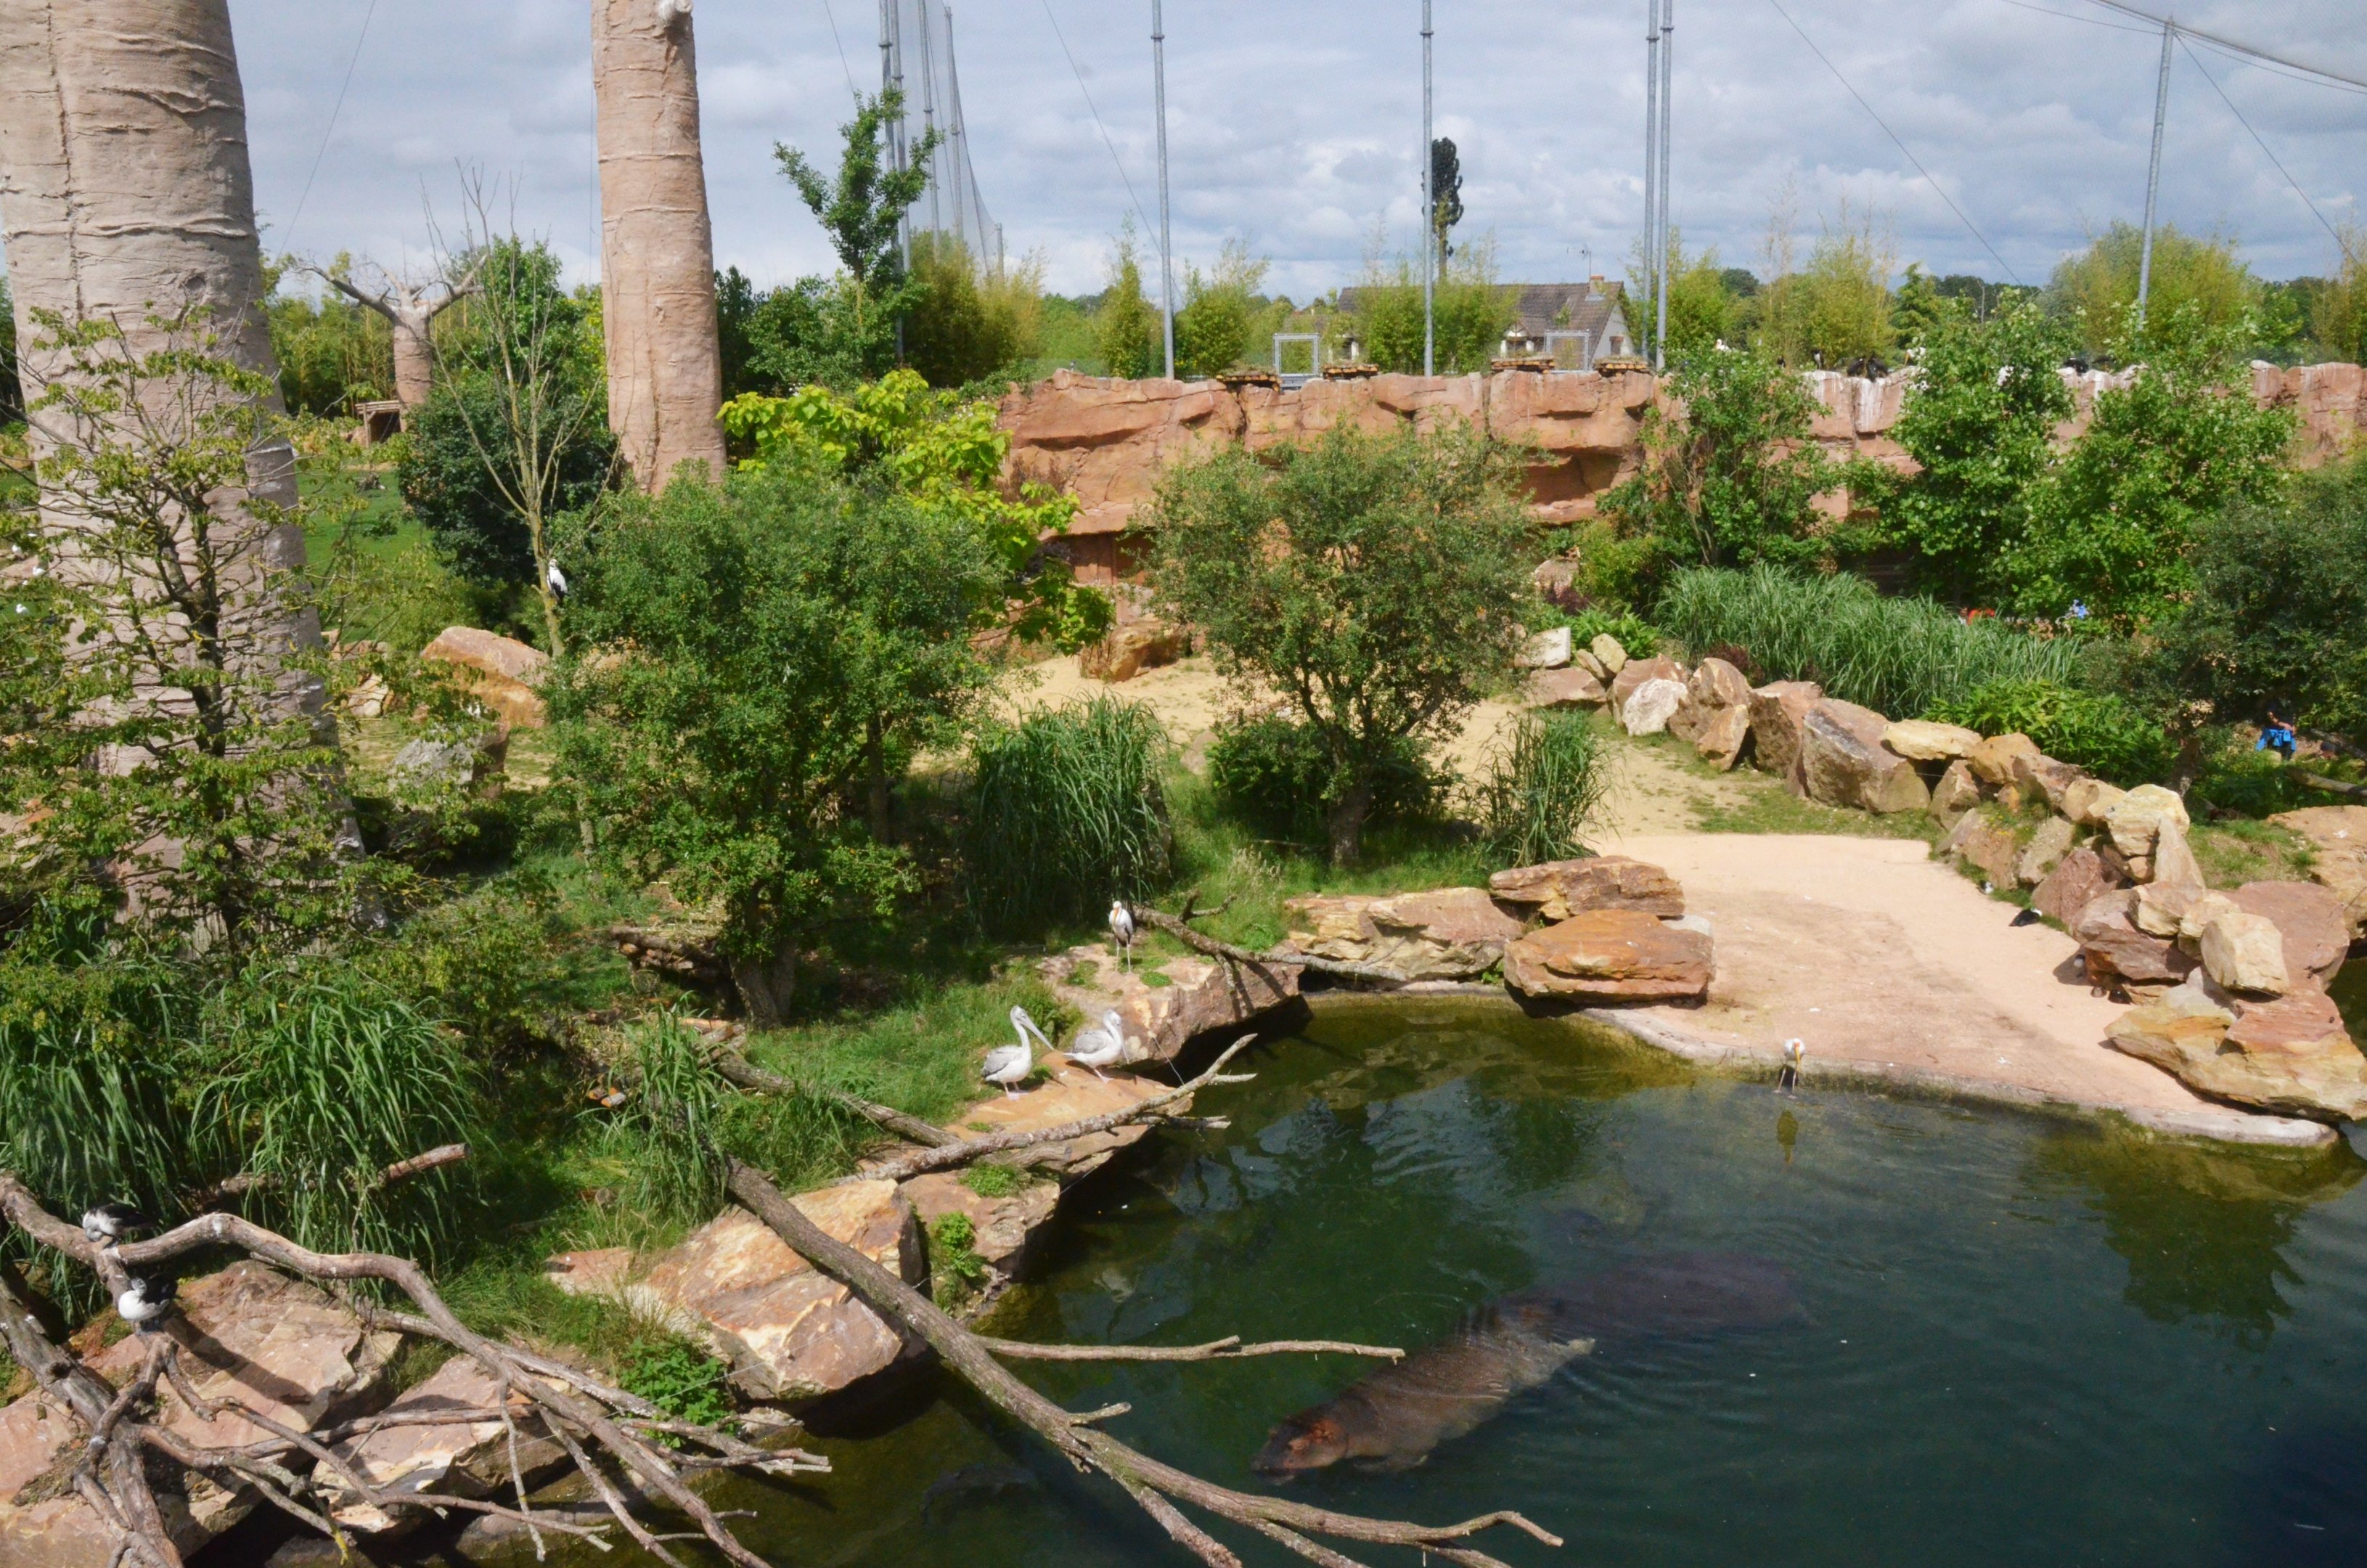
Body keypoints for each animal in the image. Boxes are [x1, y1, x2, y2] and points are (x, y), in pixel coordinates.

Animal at [1251, 1252, 1801, 1476]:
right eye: (1271, 1434)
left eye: (1296, 1444)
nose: (1259, 1465)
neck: (1356, 1418)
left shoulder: (1412, 1439)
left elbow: (1405, 1460)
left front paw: (1371, 1470)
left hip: (1532, 1365)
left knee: (1559, 1357)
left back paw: (1586, 1344)